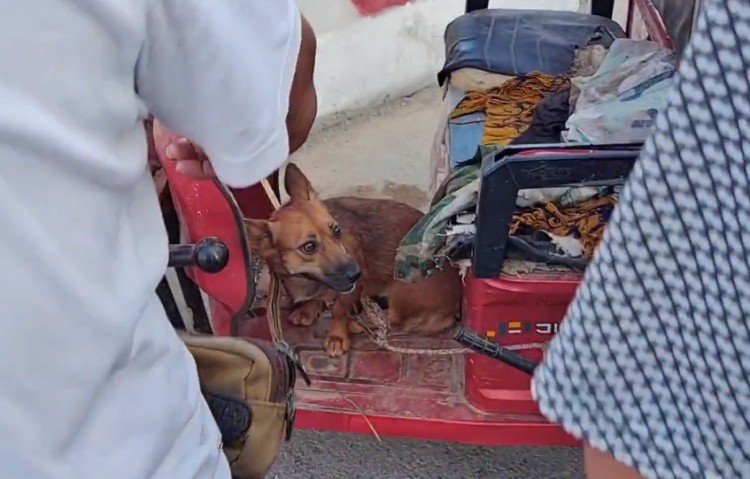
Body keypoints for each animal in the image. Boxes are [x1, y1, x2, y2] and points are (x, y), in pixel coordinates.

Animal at [247, 164, 464, 356]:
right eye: (308, 247)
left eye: (337, 231)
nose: (357, 273)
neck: (307, 279)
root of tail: (452, 308)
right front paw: (308, 310)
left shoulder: (350, 291)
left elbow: (338, 311)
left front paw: (337, 337)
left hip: (402, 287)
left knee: (392, 317)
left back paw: (362, 324)